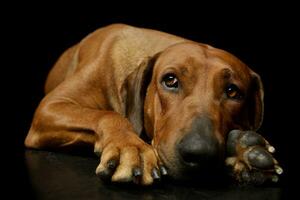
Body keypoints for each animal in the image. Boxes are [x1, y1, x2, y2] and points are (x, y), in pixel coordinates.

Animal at [25, 24, 282, 185]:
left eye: (232, 91)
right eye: (170, 80)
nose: (199, 153)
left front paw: (242, 153)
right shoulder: (50, 107)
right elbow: (108, 115)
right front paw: (131, 147)